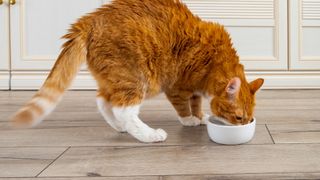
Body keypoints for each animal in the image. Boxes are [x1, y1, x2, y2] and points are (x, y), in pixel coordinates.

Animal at [11, 0, 264, 143]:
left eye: (249, 117)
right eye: (239, 117)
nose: (244, 126)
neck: (214, 60)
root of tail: (90, 20)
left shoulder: (194, 89)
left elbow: (196, 102)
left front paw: (199, 116)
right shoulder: (177, 87)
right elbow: (184, 107)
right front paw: (189, 120)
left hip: (114, 78)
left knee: (103, 100)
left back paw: (119, 127)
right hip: (137, 79)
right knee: (123, 109)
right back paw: (149, 135)